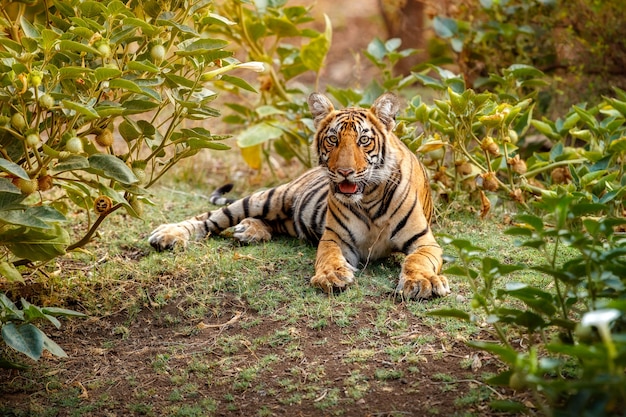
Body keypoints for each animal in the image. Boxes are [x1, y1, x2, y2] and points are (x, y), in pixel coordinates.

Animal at [146, 92, 448, 300]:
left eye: (364, 140)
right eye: (333, 139)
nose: (345, 172)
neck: (368, 198)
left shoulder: (424, 241)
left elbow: (417, 260)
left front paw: (422, 282)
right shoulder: (334, 238)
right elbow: (328, 256)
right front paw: (331, 275)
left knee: (270, 223)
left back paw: (250, 231)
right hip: (270, 197)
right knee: (209, 218)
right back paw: (168, 234)